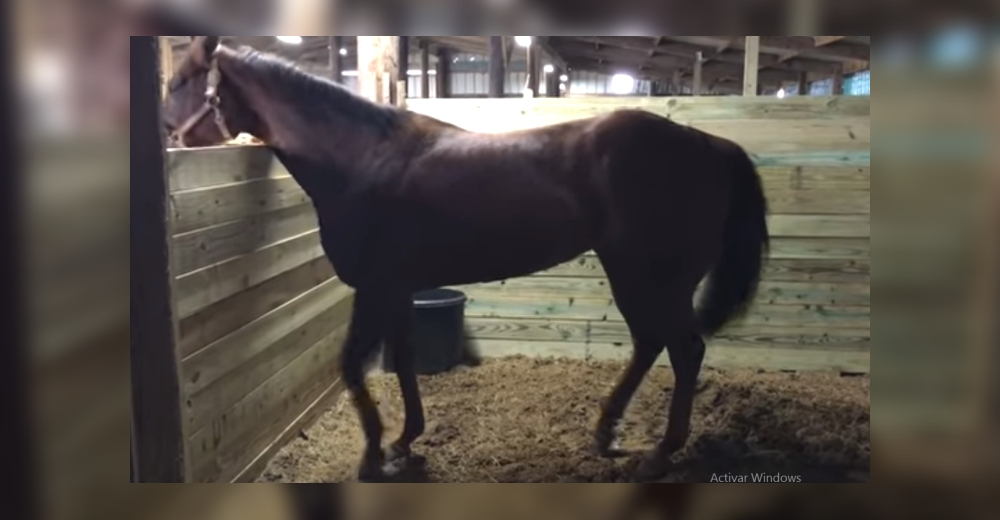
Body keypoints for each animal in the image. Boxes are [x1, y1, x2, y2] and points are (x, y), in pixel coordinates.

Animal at [164, 37, 768, 484]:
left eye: (177, 82)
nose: (168, 136)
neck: (363, 158)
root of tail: (709, 144)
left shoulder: (375, 287)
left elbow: (353, 364)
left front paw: (373, 459)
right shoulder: (398, 288)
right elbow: (404, 360)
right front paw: (406, 441)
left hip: (653, 277)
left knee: (683, 350)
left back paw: (659, 454)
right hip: (638, 276)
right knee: (650, 344)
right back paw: (606, 432)